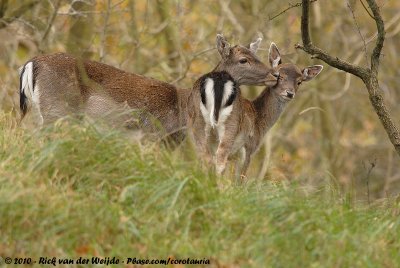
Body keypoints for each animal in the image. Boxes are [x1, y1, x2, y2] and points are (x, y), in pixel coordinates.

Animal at [18, 34, 276, 141]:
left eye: (255, 54)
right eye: (243, 60)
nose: (274, 74)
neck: (182, 109)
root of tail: (31, 64)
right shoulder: (153, 132)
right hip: (57, 109)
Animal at [187, 42, 322, 176]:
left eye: (299, 82)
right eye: (281, 77)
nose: (289, 93)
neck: (259, 120)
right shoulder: (249, 148)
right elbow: (240, 176)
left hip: (197, 125)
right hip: (229, 128)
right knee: (219, 161)